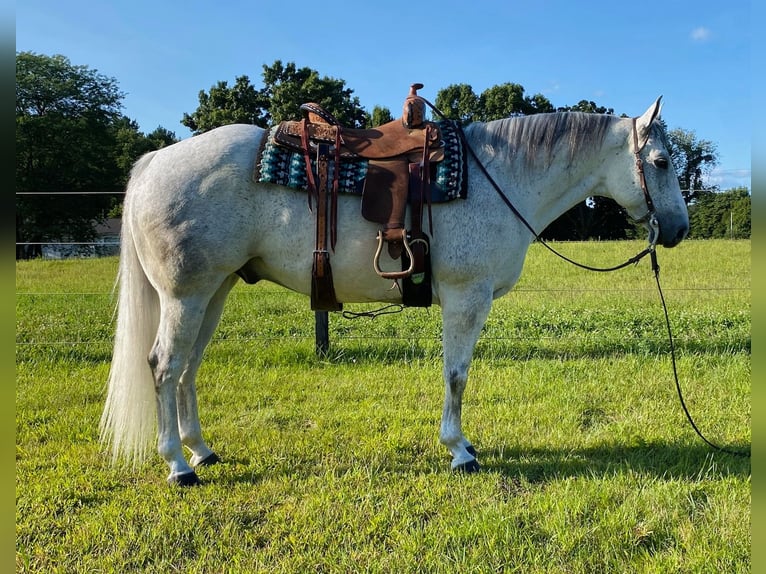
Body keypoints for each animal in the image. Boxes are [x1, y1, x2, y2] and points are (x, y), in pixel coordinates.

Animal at [100, 98, 689, 485]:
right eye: (660, 163)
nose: (680, 230)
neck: (502, 178)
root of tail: (153, 162)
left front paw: (461, 445)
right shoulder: (466, 297)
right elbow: (456, 375)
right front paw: (459, 452)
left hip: (214, 290)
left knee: (188, 368)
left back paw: (201, 451)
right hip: (186, 294)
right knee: (164, 365)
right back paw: (179, 466)